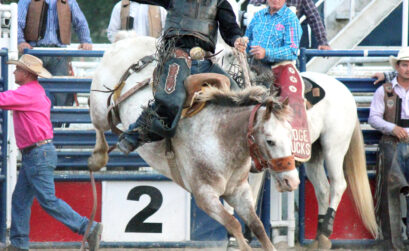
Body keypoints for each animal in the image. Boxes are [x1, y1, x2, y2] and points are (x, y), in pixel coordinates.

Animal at [87, 35, 298, 251]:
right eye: (270, 141)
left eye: (291, 136)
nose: (292, 181)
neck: (221, 137)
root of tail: (125, 39)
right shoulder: (204, 196)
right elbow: (233, 223)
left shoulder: (239, 191)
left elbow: (257, 225)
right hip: (100, 109)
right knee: (98, 125)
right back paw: (99, 158)